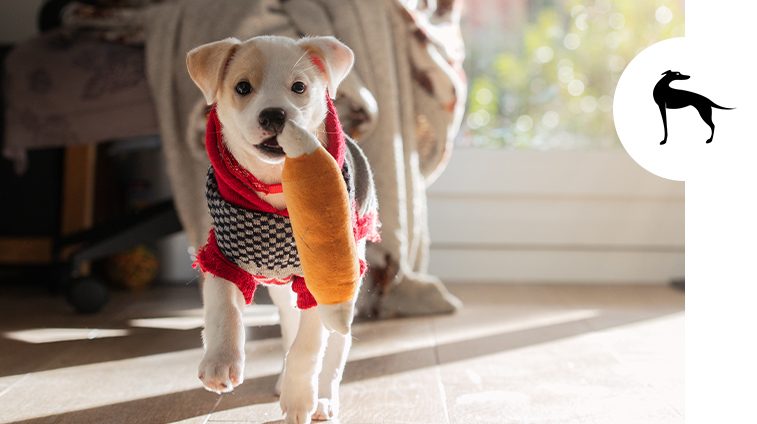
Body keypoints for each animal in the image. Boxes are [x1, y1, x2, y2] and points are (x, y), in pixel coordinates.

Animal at [187, 36, 380, 424]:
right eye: (242, 87)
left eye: (299, 88)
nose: (274, 114)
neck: (277, 185)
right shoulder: (222, 256)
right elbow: (223, 307)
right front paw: (220, 362)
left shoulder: (321, 278)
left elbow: (310, 346)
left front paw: (299, 399)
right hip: (281, 294)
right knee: (291, 327)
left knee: (333, 350)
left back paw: (322, 398)